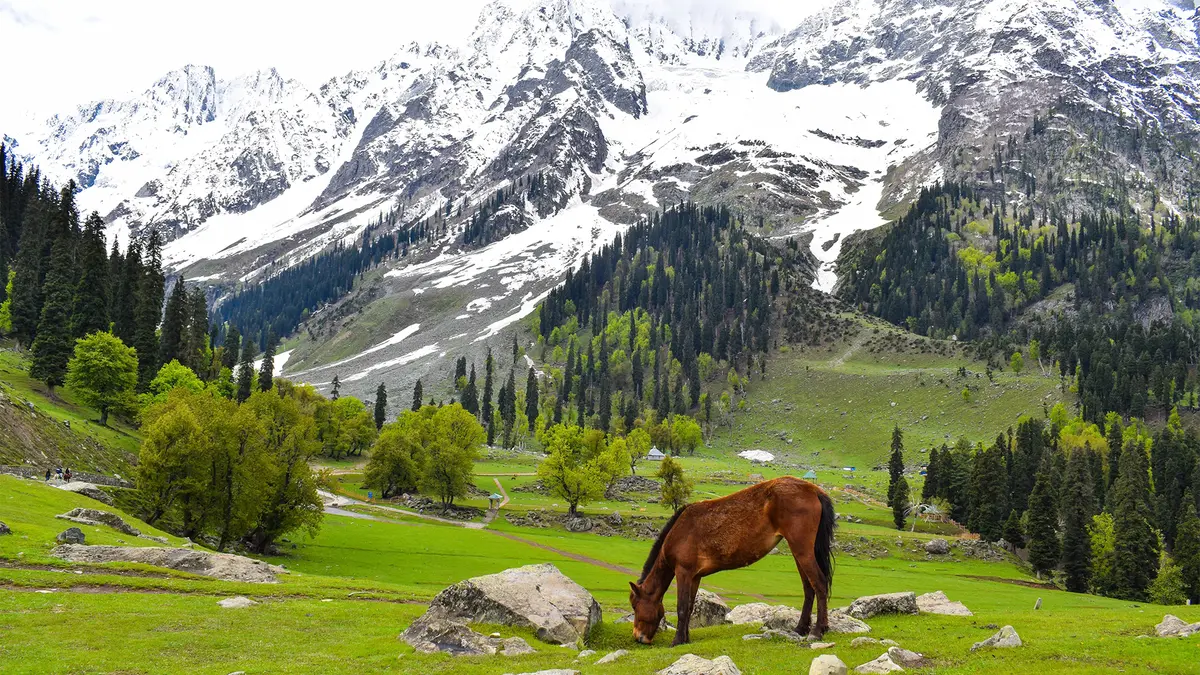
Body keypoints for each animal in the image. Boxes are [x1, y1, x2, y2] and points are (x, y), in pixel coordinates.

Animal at [628, 476, 835, 646]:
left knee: (819, 583)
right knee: (809, 588)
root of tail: (814, 490)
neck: (679, 532)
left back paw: (818, 630)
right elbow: (689, 606)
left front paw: (677, 640)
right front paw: (685, 638)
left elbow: (681, 607)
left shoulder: (683, 572)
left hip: (802, 551)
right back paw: (801, 628)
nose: (638, 637)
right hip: (799, 553)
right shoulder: (695, 577)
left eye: (635, 606)